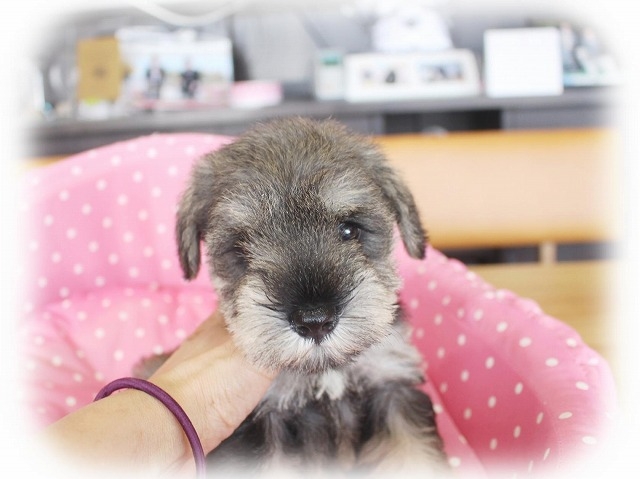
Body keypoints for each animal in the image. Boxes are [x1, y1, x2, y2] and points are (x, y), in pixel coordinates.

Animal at [168, 117, 447, 475]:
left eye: (349, 229)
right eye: (242, 247)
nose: (315, 321)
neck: (327, 371)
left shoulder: (393, 385)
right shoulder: (264, 422)